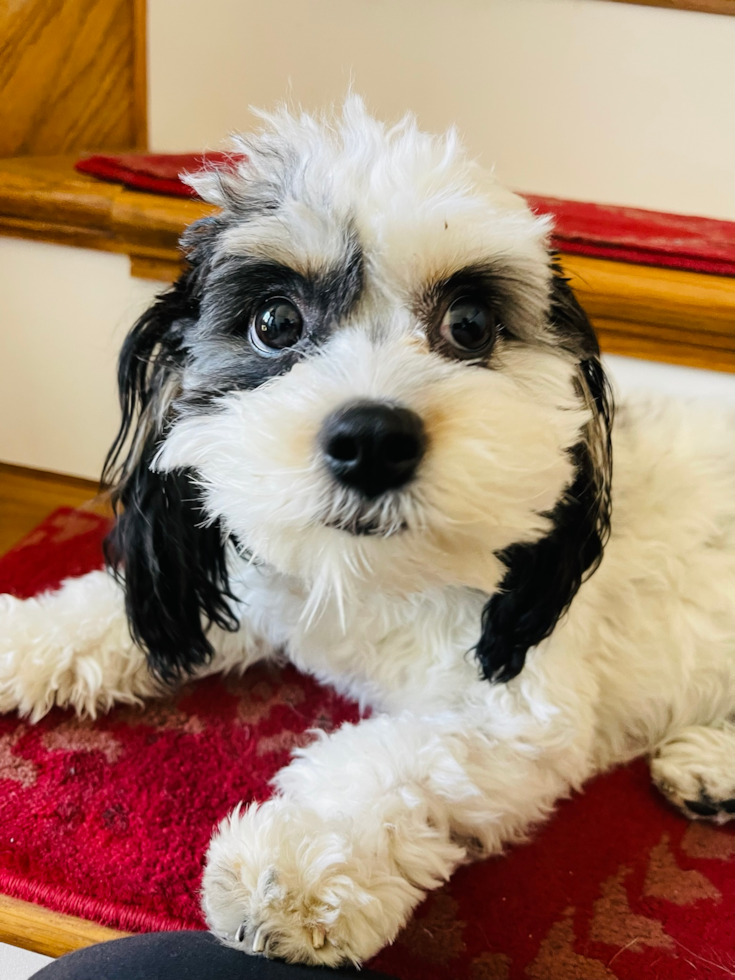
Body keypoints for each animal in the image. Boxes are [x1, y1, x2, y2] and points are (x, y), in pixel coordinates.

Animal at [1, 99, 735, 964]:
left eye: (470, 324)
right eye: (275, 321)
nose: (373, 438)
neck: (369, 580)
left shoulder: (516, 714)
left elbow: (389, 763)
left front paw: (293, 867)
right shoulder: (258, 585)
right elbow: (93, 613)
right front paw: (18, 641)